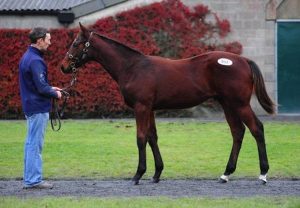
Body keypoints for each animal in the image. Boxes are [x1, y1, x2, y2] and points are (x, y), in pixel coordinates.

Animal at [60, 23, 274, 185]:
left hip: (240, 104)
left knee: (257, 129)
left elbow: (140, 138)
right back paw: (226, 174)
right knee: (238, 132)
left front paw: (138, 174)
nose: (63, 66)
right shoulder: (150, 109)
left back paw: (263, 174)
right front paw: (156, 174)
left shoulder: (141, 107)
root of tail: (244, 60)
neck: (132, 67)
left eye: (76, 43)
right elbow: (152, 137)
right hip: (227, 104)